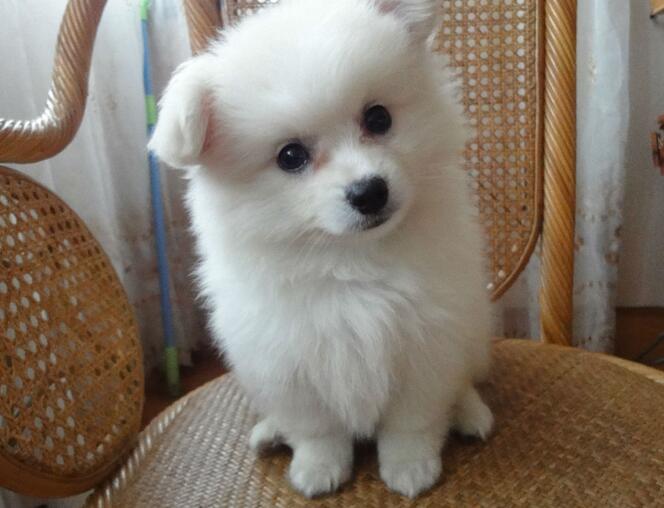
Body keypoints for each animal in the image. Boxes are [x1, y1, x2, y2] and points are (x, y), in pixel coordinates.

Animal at [149, 0, 494, 498]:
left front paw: (410, 467)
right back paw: (271, 431)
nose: (370, 192)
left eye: (378, 118)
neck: (348, 260)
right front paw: (317, 468)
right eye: (290, 156)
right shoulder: (287, 364)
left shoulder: (426, 345)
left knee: (464, 378)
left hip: (472, 333)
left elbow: (412, 421)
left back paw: (470, 413)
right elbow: (317, 430)